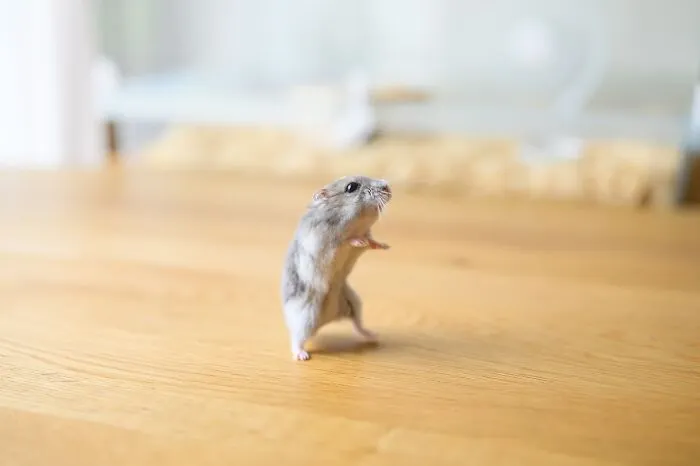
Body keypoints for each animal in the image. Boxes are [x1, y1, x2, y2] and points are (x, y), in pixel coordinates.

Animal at [281, 175, 392, 361]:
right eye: (351, 187)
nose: (387, 187)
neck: (356, 225)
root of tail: (327, 319)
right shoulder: (324, 244)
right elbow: (346, 241)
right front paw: (359, 240)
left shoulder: (366, 234)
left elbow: (371, 241)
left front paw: (385, 246)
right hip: (306, 316)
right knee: (297, 338)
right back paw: (302, 356)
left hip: (353, 302)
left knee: (358, 325)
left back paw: (374, 336)